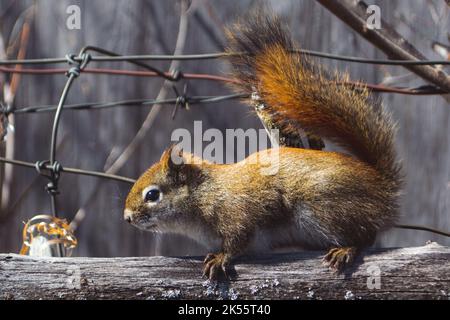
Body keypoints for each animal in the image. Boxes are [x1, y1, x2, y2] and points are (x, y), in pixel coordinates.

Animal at [122, 11, 400, 280]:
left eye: (152, 195)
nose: (127, 218)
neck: (204, 194)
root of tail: (381, 186)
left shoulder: (237, 214)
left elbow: (237, 241)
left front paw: (221, 258)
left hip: (328, 207)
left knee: (365, 236)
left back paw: (346, 249)